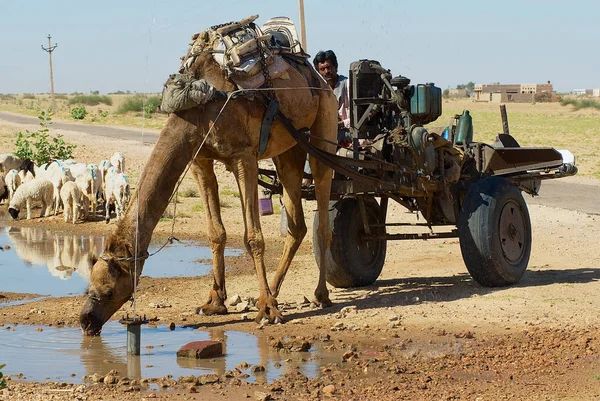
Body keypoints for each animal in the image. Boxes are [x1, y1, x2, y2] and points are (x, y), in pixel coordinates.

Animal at [80, 16, 340, 334]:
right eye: (89, 287)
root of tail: (317, 78)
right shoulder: (199, 160)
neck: (200, 107)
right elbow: (216, 233)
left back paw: (319, 295)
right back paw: (277, 290)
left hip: (324, 126)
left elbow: (253, 237)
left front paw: (267, 310)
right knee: (296, 224)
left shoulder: (243, 156)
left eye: (108, 291)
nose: (86, 320)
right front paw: (214, 302)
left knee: (322, 217)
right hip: (288, 148)